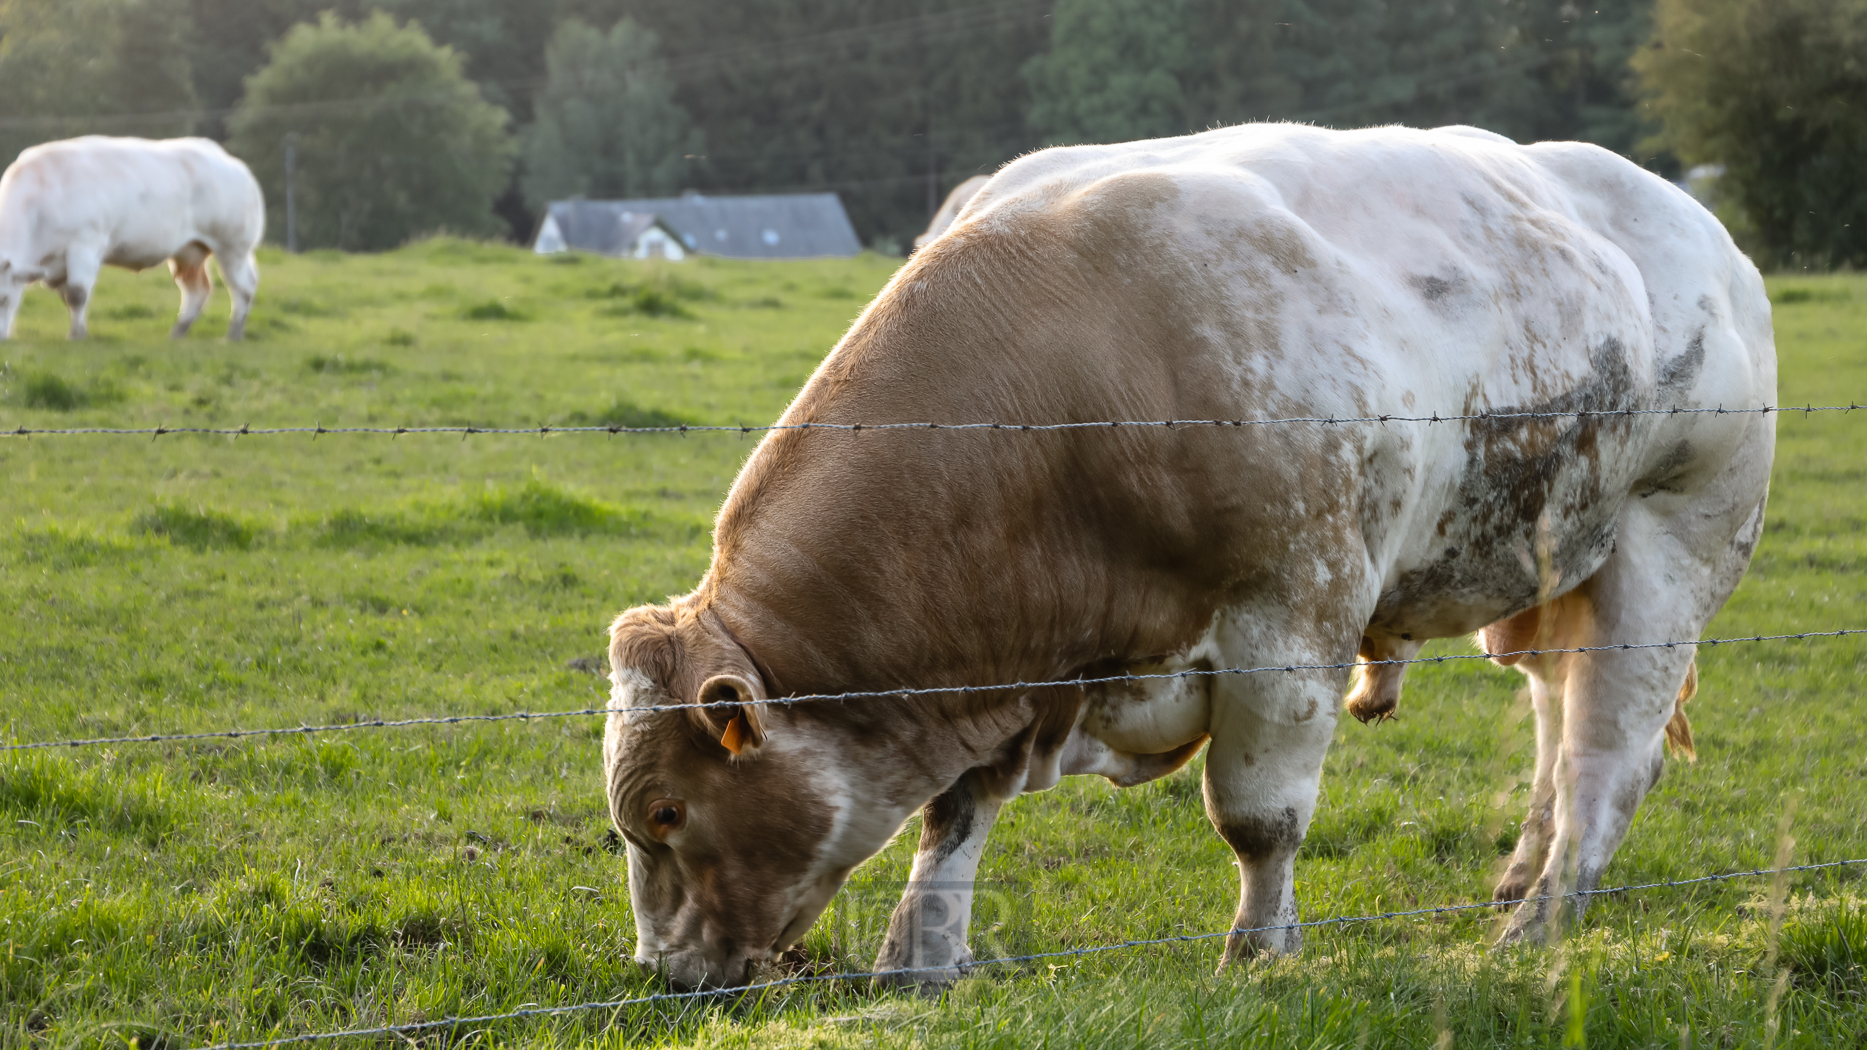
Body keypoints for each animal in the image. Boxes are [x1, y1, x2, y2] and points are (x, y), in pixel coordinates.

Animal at [0, 135, 266, 340]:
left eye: (3, 299)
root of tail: (227, 159)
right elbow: (67, 296)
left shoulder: (85, 245)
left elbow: (76, 294)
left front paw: (76, 335)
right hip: (189, 251)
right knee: (197, 291)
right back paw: (178, 332)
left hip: (233, 247)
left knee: (243, 286)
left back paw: (233, 334)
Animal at [601, 124, 1777, 986]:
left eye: (664, 812)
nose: (662, 973)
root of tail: (1702, 231)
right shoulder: (1008, 663)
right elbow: (956, 809)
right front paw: (919, 960)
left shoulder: (1291, 622)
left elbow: (1258, 820)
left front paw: (1258, 952)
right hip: (1547, 569)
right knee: (1552, 716)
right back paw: (1517, 877)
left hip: (1669, 555)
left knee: (1604, 757)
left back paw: (1533, 928)